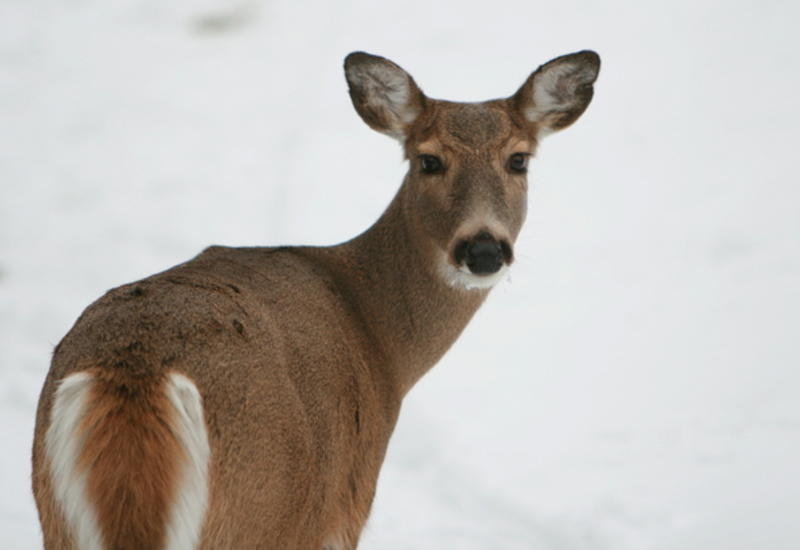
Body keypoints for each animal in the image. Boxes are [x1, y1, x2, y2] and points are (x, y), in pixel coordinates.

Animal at [29, 49, 600, 548]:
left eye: (518, 160)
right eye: (429, 160)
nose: (483, 250)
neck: (378, 338)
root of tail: (133, 371)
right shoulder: (343, 506)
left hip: (58, 517)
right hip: (259, 510)